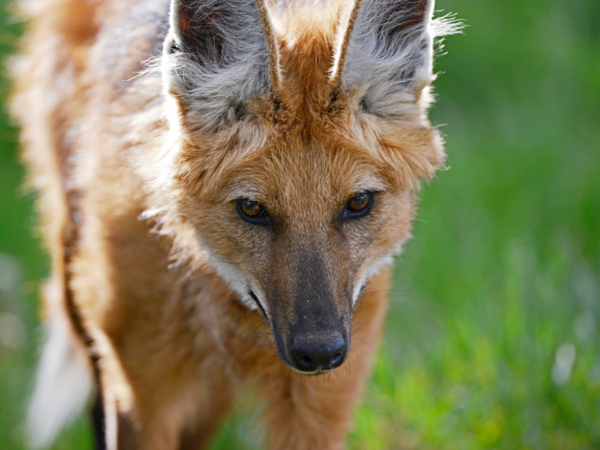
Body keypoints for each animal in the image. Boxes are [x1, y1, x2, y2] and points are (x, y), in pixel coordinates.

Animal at [10, 0, 460, 446]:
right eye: (252, 208)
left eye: (359, 203)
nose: (318, 353)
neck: (231, 312)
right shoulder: (141, 394)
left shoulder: (317, 404)